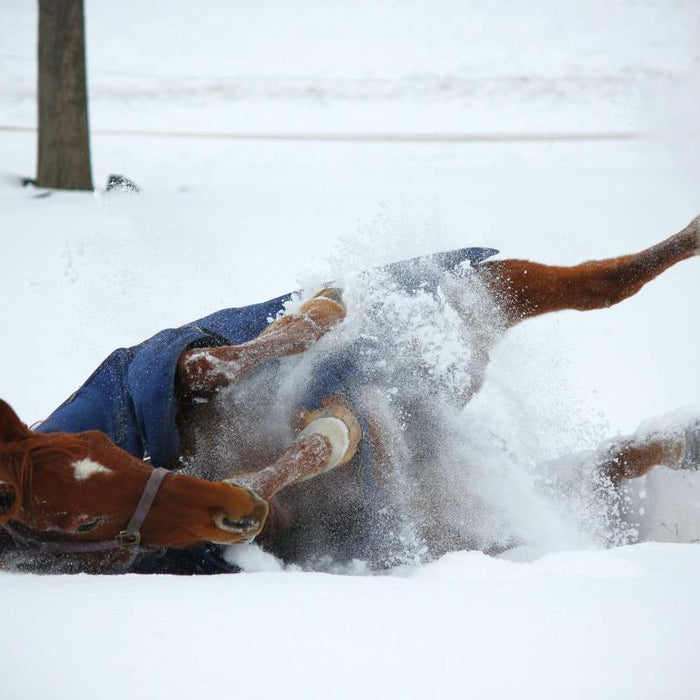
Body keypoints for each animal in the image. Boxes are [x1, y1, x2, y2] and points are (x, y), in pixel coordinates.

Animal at [1, 216, 700, 572]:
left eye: (99, 442)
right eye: (81, 521)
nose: (231, 510)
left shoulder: (185, 368)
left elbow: (209, 364)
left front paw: (325, 309)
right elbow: (326, 440)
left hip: (485, 289)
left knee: (610, 282)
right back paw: (684, 444)